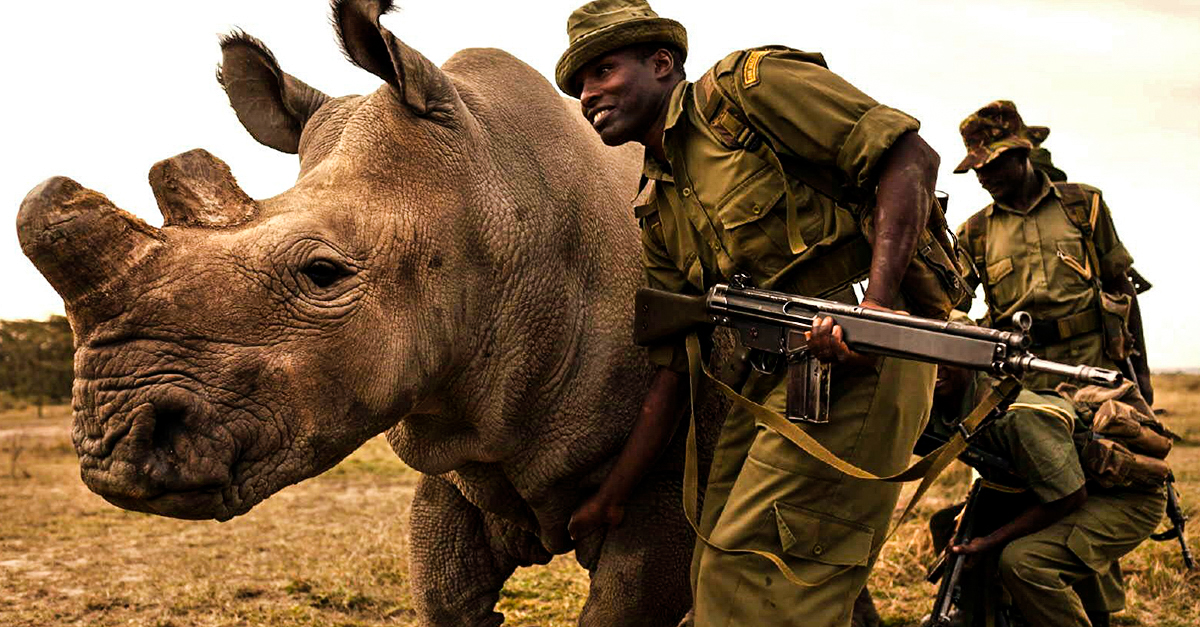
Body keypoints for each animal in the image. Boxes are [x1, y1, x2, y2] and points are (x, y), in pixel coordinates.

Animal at [14, 0, 724, 619]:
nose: (110, 452)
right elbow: (442, 591)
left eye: (323, 274)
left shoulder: (663, 465)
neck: (499, 188)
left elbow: (626, 601)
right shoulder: (454, 438)